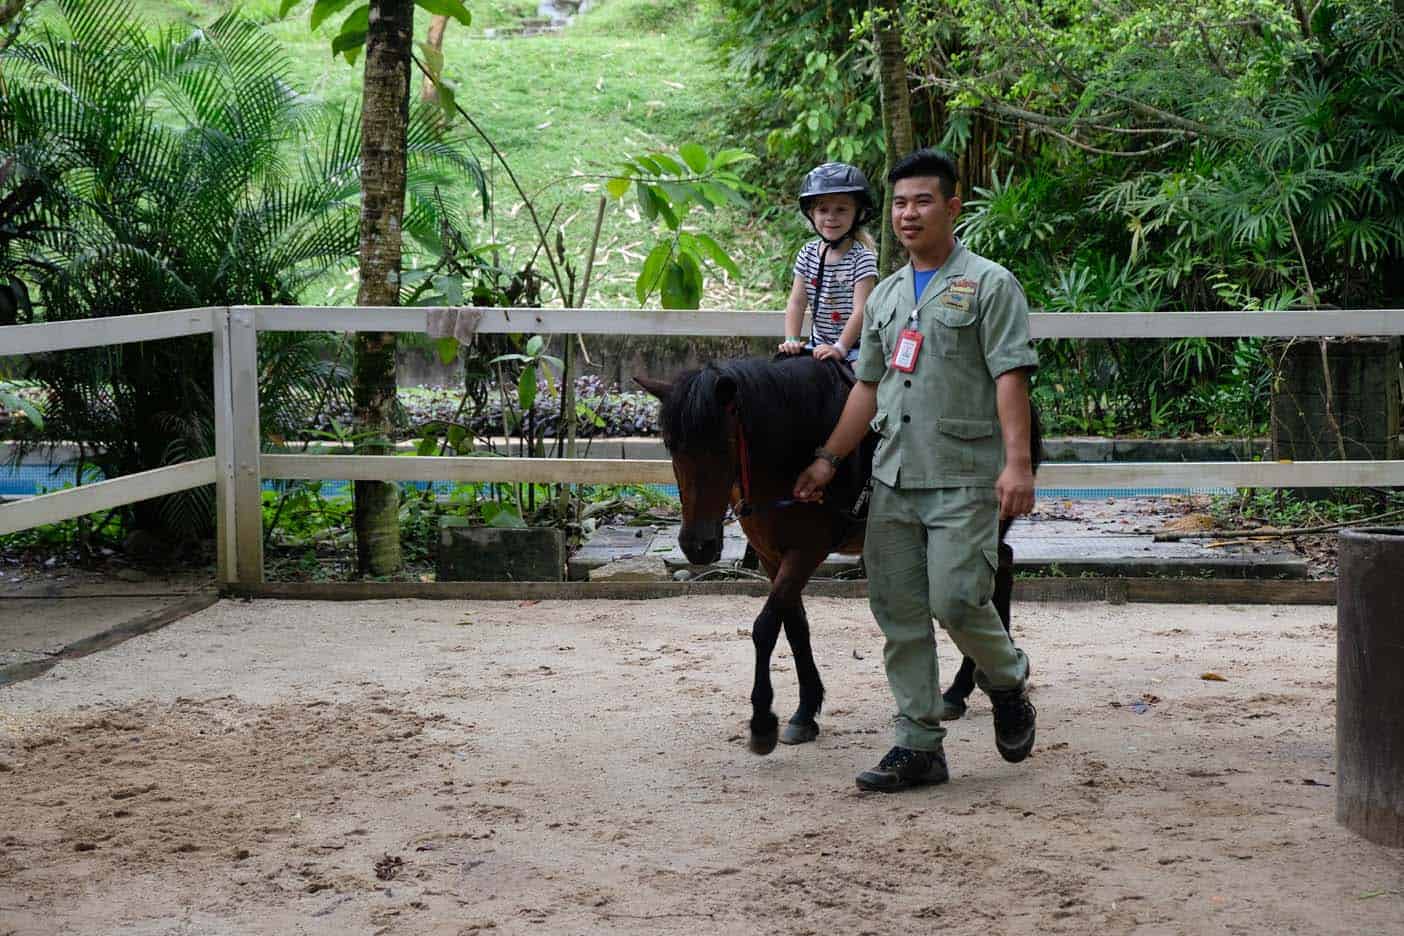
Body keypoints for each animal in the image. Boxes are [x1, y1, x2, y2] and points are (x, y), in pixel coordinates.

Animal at [637, 355, 1033, 757]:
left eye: (723, 445)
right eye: (671, 446)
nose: (697, 546)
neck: (791, 449)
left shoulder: (807, 551)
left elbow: (765, 627)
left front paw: (763, 722)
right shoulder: (771, 555)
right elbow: (794, 625)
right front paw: (805, 712)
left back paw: (964, 687)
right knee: (1002, 566)